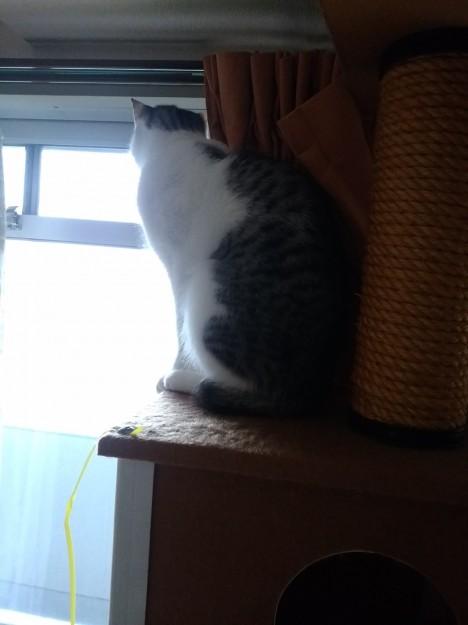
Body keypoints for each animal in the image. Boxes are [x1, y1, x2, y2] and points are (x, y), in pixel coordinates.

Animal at [130, 99, 348, 417]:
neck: (179, 141)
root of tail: (303, 393)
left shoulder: (178, 266)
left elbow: (178, 327)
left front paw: (175, 368)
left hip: (206, 291)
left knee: (230, 384)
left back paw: (181, 379)